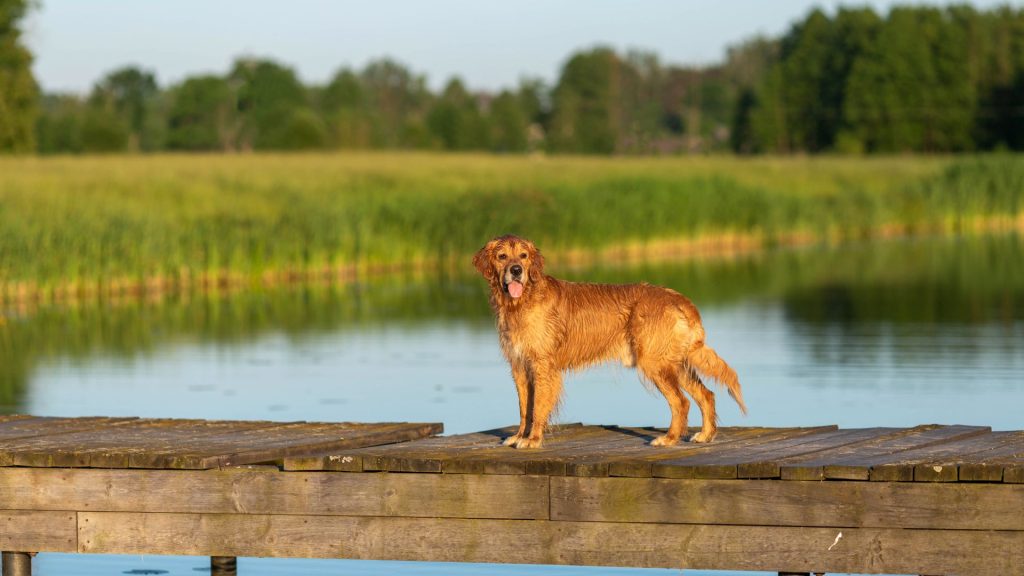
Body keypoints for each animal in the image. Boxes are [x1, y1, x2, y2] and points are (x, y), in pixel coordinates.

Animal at [471, 234, 745, 448]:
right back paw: (704, 435)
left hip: (655, 362)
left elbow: (537, 407)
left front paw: (533, 439)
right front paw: (519, 436)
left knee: (682, 401)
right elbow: (524, 408)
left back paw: (669, 438)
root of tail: (677, 297)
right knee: (706, 394)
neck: (521, 301)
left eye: (524, 256)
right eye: (502, 256)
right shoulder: (519, 366)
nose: (516, 270)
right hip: (674, 362)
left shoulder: (542, 365)